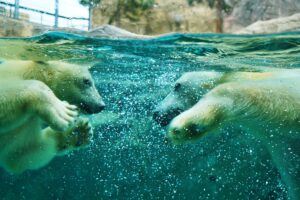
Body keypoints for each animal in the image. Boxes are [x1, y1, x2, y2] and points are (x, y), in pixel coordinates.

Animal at [155, 70, 300, 200]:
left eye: (177, 86)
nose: (155, 114)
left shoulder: (285, 85)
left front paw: (185, 126)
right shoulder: (279, 139)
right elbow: (291, 170)